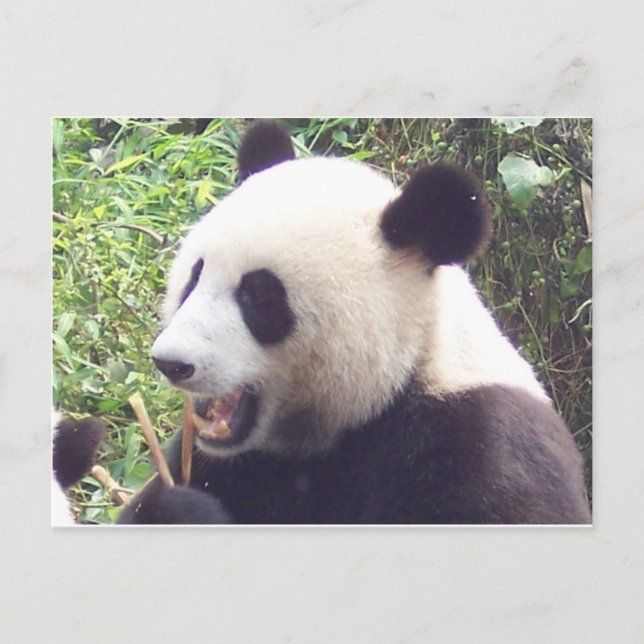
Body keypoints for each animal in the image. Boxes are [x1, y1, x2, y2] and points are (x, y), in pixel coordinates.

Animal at [117, 120, 591, 525]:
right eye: (194, 277)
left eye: (259, 294)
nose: (172, 362)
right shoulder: (236, 464)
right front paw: (176, 507)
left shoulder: (479, 446)